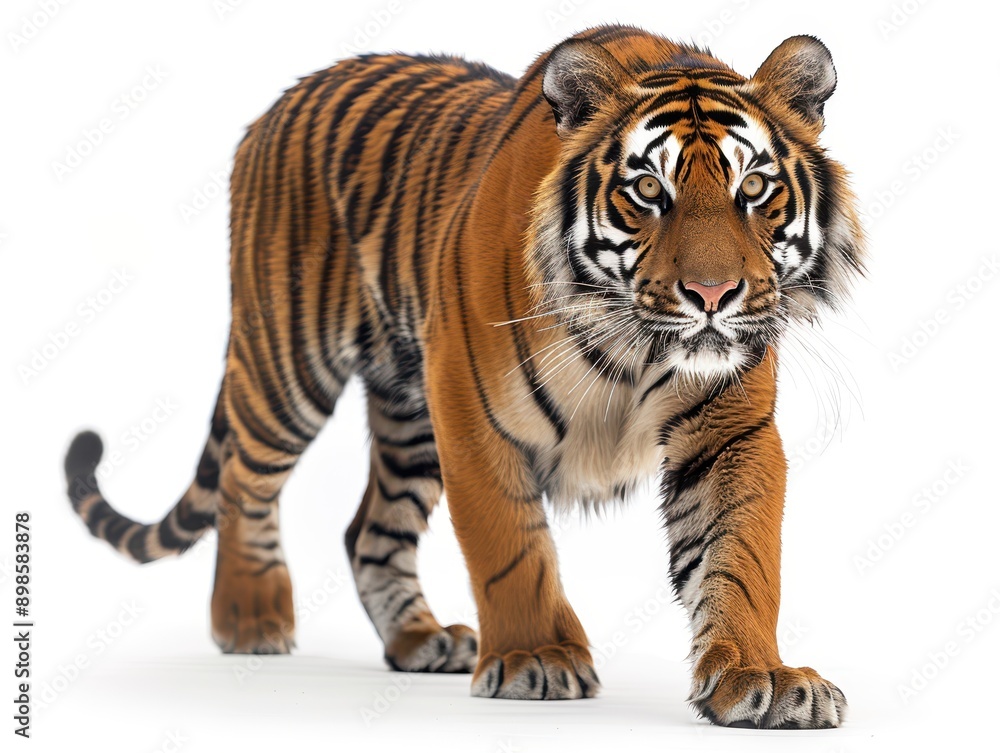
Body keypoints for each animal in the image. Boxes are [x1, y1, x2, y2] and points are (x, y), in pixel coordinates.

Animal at [63, 24, 864, 728]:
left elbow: (742, 555)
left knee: (367, 529)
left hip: (406, 414)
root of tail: (279, 103)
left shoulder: (730, 430)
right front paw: (538, 655)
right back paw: (250, 618)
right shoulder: (472, 411)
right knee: (244, 484)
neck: (631, 341)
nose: (711, 294)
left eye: (753, 188)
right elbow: (508, 543)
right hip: (290, 365)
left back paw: (419, 640)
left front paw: (759, 677)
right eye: (647, 192)